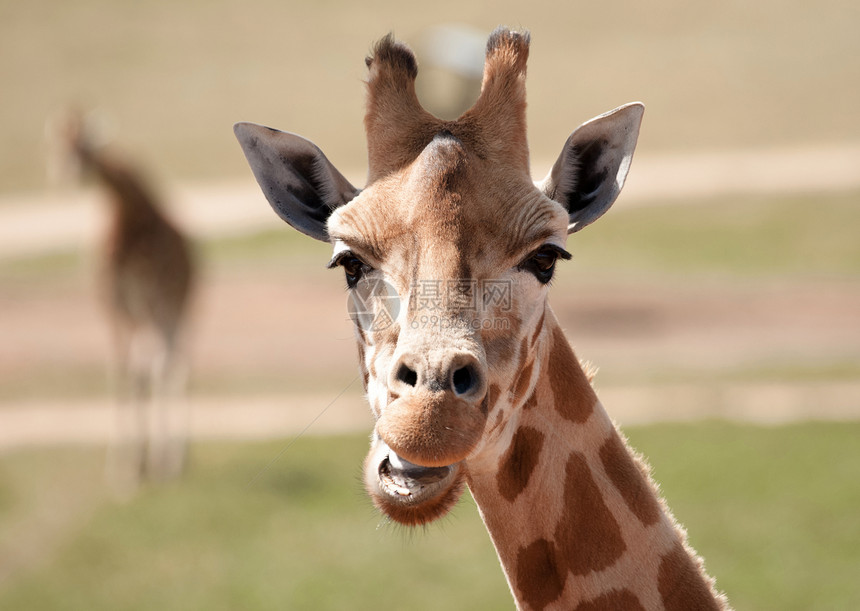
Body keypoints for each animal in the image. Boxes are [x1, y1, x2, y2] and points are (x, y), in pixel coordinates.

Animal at [47, 110, 197, 490]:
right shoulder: (111, 301)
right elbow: (121, 371)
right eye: (57, 144)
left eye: (84, 145)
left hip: (179, 306)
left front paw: (148, 466)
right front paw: (123, 470)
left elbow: (147, 369)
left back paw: (173, 460)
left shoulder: (149, 296)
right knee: (163, 363)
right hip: (152, 313)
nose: (66, 172)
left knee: (175, 364)